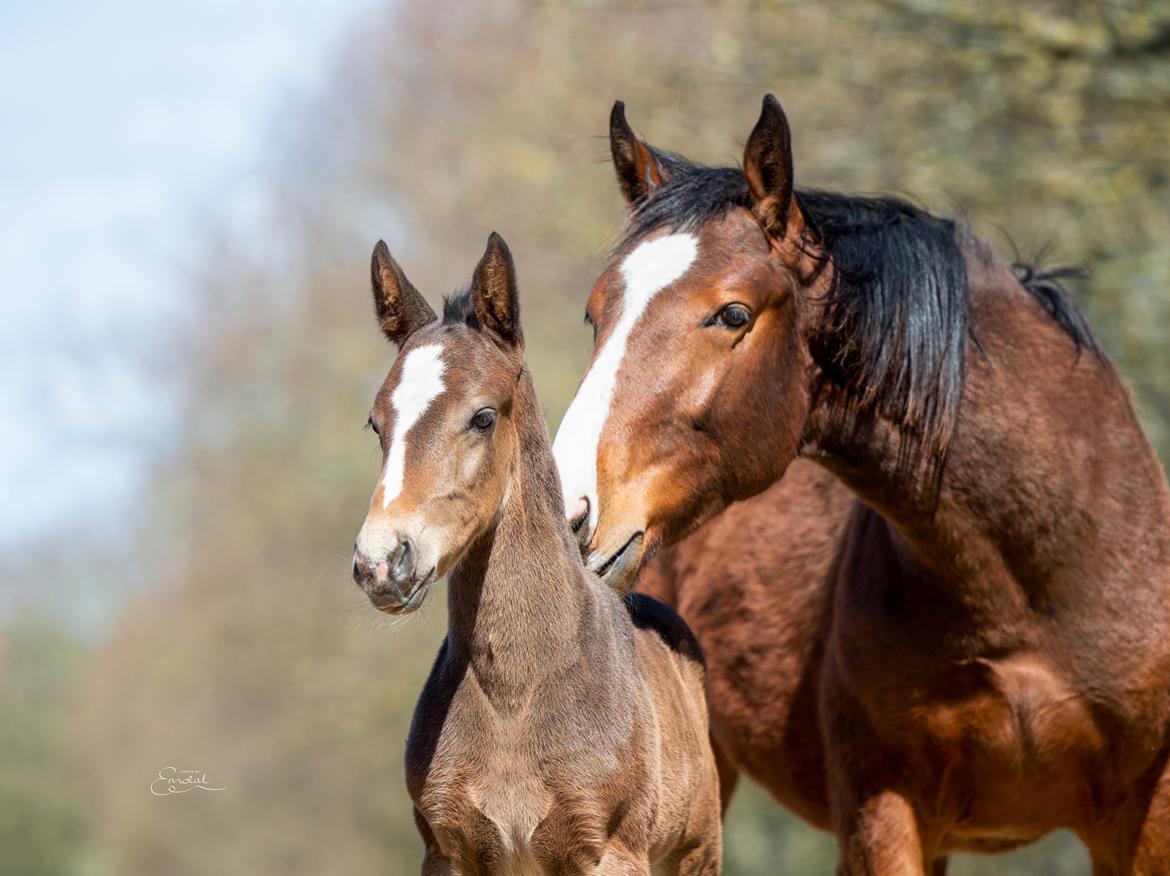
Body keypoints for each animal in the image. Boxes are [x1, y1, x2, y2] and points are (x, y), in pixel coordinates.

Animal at [346, 233, 720, 874]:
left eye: (483, 416)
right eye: (377, 423)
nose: (381, 563)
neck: (516, 692)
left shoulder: (612, 853)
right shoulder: (447, 853)